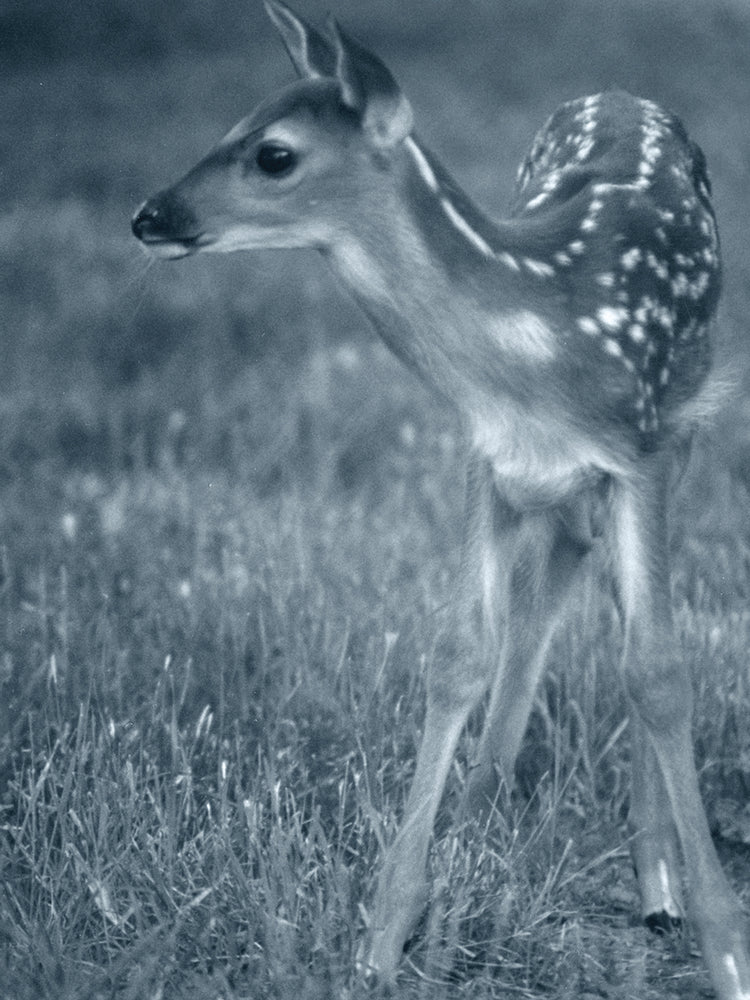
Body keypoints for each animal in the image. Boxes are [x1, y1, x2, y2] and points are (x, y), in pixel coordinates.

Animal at [131, 2, 750, 996]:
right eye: (233, 121)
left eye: (273, 153)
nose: (150, 215)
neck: (539, 336)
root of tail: (622, 93)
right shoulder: (485, 459)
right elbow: (460, 655)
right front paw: (388, 935)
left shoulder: (645, 450)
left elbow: (656, 669)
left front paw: (724, 945)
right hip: (555, 490)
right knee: (554, 587)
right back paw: (477, 841)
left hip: (688, 422)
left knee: (621, 608)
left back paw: (655, 881)